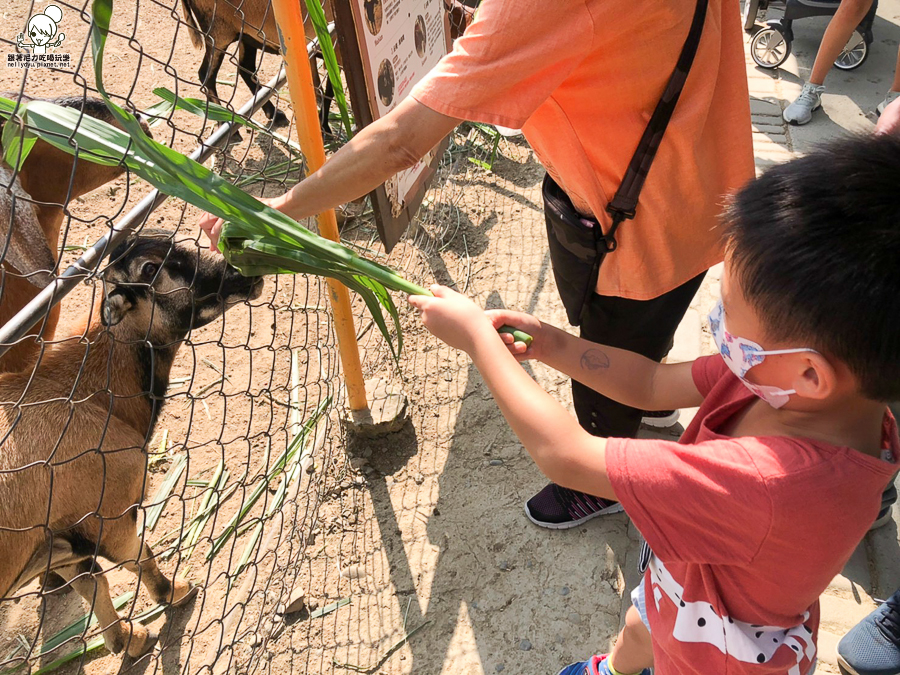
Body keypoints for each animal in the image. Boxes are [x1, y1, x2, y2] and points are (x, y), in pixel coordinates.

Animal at [0, 232, 262, 660]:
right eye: (151, 269)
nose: (240, 271)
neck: (86, 394)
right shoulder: (107, 516)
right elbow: (141, 559)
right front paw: (174, 593)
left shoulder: (60, 537)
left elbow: (93, 584)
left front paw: (126, 639)